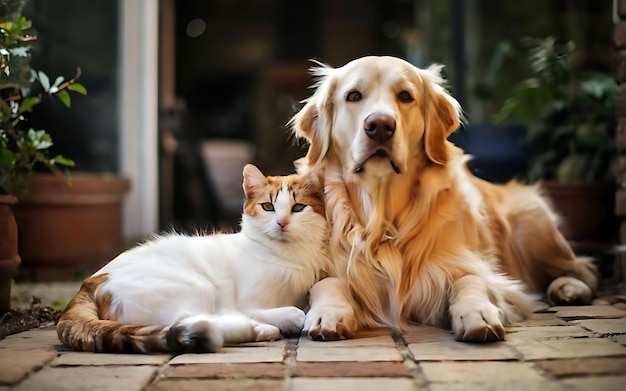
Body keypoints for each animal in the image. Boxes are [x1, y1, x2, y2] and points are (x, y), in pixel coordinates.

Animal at [56, 164, 326, 354]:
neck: (288, 257)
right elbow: (295, 312)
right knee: (188, 321)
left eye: (298, 208)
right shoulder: (244, 304)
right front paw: (286, 319)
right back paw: (256, 329)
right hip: (195, 285)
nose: (282, 223)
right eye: (268, 207)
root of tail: (90, 282)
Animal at [290, 56, 596, 344]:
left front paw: (477, 313)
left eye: (405, 96)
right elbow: (327, 283)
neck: (382, 219)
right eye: (353, 96)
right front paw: (328, 313)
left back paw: (568, 288)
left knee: (584, 269)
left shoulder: (472, 268)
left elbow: (471, 280)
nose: (379, 126)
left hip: (532, 221)